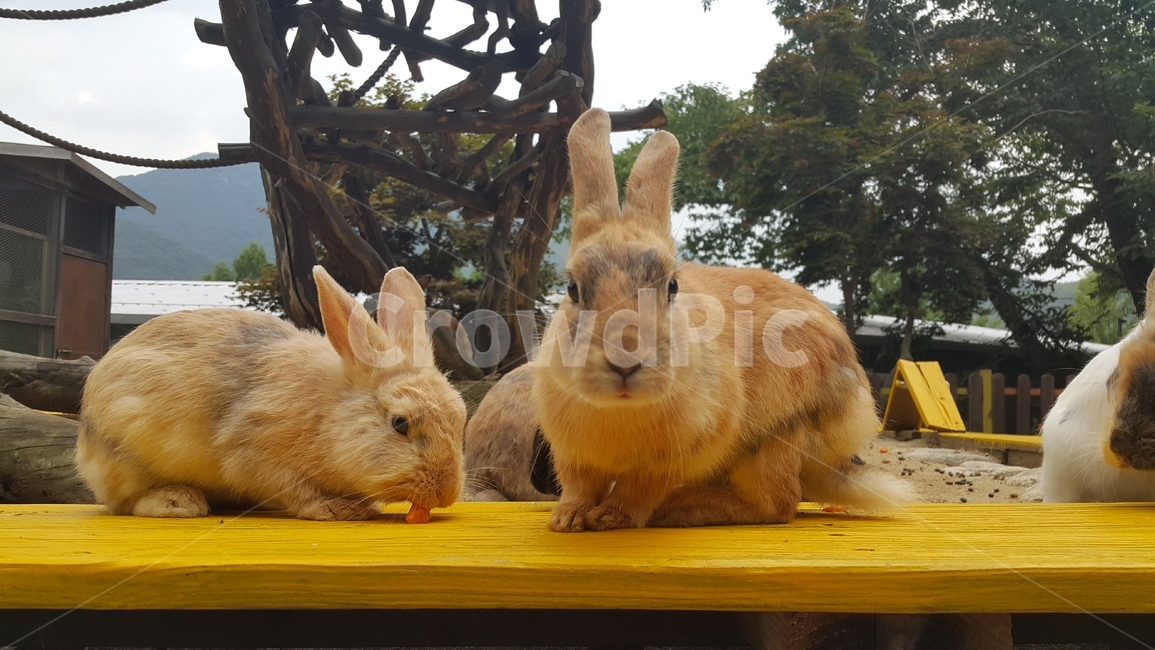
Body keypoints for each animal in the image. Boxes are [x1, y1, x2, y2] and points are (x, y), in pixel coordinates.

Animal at [75, 266, 467, 520]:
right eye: (400, 423)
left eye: (460, 419)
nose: (446, 491)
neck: (328, 413)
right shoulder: (256, 455)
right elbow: (296, 489)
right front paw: (337, 509)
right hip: (124, 455)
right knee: (122, 502)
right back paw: (179, 503)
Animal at [533, 108, 912, 532]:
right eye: (572, 288)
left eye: (672, 287)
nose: (626, 358)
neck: (621, 409)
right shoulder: (573, 457)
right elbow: (579, 486)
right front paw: (567, 519)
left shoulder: (670, 461)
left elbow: (638, 491)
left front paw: (611, 518)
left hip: (774, 441)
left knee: (776, 503)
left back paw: (678, 508)